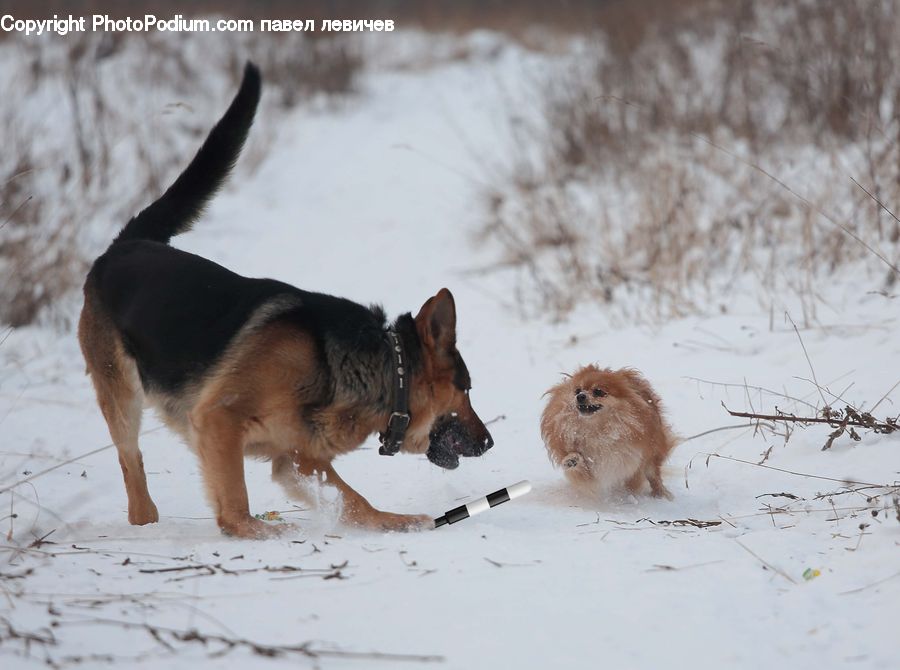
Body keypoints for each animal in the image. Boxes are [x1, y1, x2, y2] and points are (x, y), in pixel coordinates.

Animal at [79, 64, 492, 540]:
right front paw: (252, 530)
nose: (491, 442)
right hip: (122, 397)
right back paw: (145, 521)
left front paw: (397, 523)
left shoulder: (297, 459)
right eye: (466, 389)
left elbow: (355, 502)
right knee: (131, 462)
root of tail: (127, 244)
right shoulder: (219, 420)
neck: (384, 366)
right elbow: (234, 498)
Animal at [540, 368, 676, 498]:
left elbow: (632, 472)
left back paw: (660, 493)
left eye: (598, 391)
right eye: (577, 390)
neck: (595, 428)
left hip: (653, 452)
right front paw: (572, 459)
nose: (580, 396)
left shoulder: (632, 457)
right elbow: (579, 467)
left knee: (653, 474)